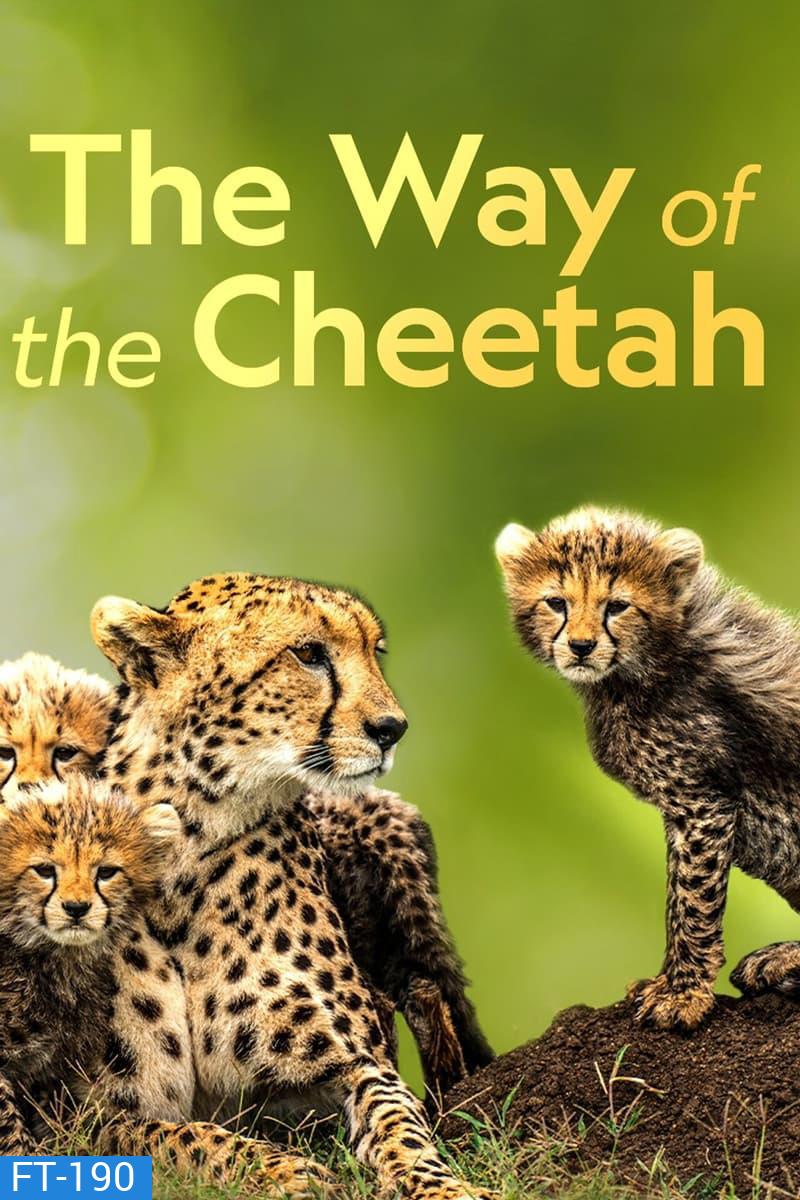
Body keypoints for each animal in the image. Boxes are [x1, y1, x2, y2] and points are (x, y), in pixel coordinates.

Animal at [92, 573, 492, 1199]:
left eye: (374, 652)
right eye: (309, 654)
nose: (393, 728)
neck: (191, 841)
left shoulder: (356, 1062)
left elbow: (400, 1126)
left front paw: (443, 1187)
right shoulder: (86, 1114)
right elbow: (178, 1139)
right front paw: (280, 1169)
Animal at [496, 505, 800, 1032]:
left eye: (617, 606)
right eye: (556, 602)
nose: (580, 646)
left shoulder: (702, 803)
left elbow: (693, 900)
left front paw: (683, 994)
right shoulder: (684, 808)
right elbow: (677, 898)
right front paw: (667, 983)